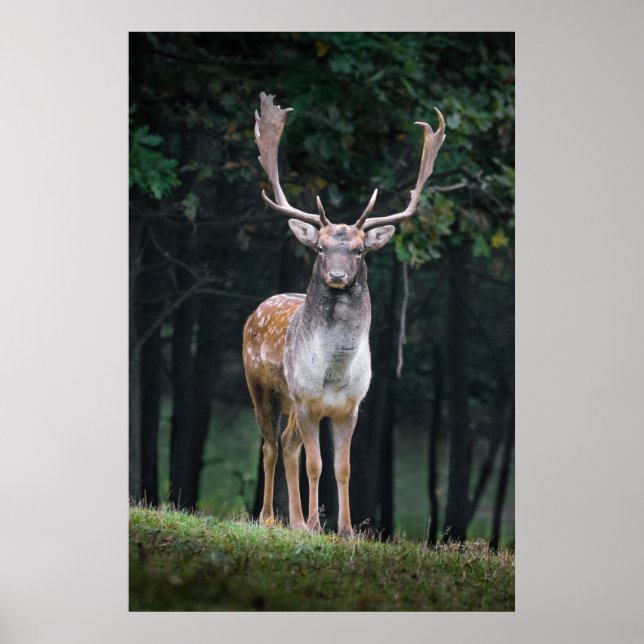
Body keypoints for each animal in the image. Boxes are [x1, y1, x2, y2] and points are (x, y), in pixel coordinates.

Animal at [243, 92, 445, 537]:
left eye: (359, 250)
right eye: (320, 248)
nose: (336, 276)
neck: (334, 372)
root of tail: (257, 310)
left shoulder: (351, 407)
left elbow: (343, 468)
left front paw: (346, 529)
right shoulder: (306, 400)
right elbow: (316, 465)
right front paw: (316, 524)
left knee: (287, 445)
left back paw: (294, 521)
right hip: (261, 388)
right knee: (270, 445)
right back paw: (270, 517)